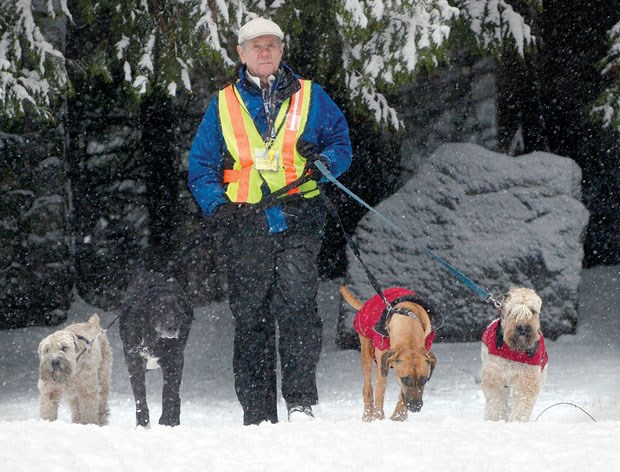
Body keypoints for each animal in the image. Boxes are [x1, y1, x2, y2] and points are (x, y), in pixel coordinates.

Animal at [118, 270, 191, 428]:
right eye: (160, 310)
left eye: (178, 312)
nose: (172, 328)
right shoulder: (134, 362)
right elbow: (140, 396)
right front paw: (143, 424)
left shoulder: (174, 362)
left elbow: (169, 394)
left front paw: (166, 422)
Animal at [342, 284, 438, 420]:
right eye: (405, 380)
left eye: (424, 380)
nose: (416, 407)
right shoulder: (383, 365)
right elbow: (379, 394)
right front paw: (378, 418)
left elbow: (401, 398)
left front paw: (398, 418)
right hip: (365, 346)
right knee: (367, 386)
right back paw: (367, 415)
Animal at [480, 286, 548, 422]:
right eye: (512, 310)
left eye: (533, 311)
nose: (523, 327)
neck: (514, 351)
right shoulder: (496, 377)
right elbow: (496, 402)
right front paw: (496, 420)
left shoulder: (526, 379)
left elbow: (521, 404)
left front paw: (516, 422)